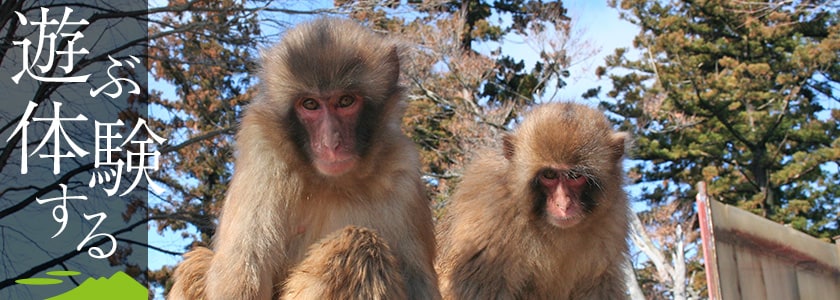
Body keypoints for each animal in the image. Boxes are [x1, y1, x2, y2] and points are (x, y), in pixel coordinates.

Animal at [167, 17, 436, 298]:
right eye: (310, 104)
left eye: (345, 101)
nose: (330, 144)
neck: (334, 181)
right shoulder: (262, 149)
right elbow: (243, 269)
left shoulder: (403, 168)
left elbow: (417, 280)